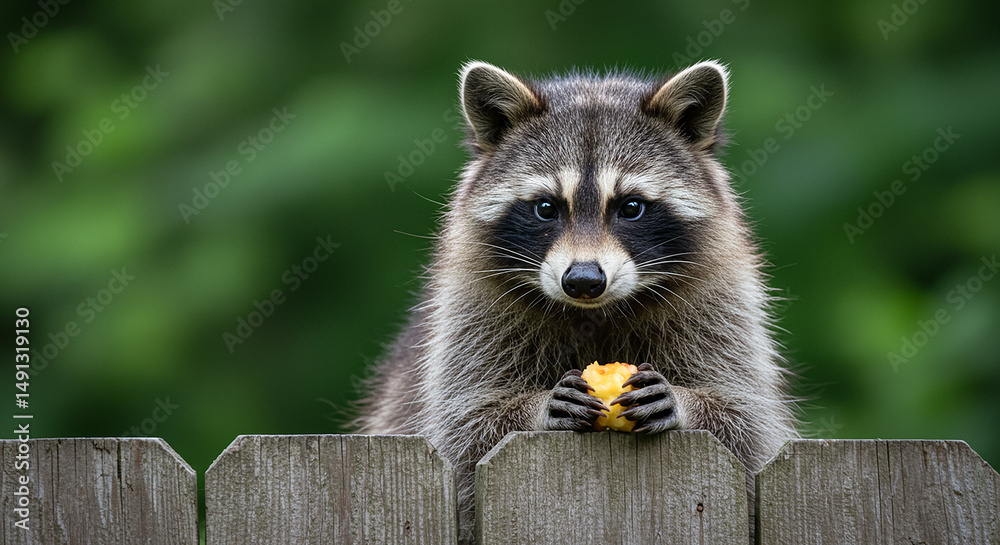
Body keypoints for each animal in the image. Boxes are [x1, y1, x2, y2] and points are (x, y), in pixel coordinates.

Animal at [355, 60, 797, 542]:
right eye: (546, 208)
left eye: (631, 207)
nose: (583, 280)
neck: (595, 312)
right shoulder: (472, 309)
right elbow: (464, 426)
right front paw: (534, 409)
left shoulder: (718, 300)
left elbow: (746, 417)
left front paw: (685, 402)